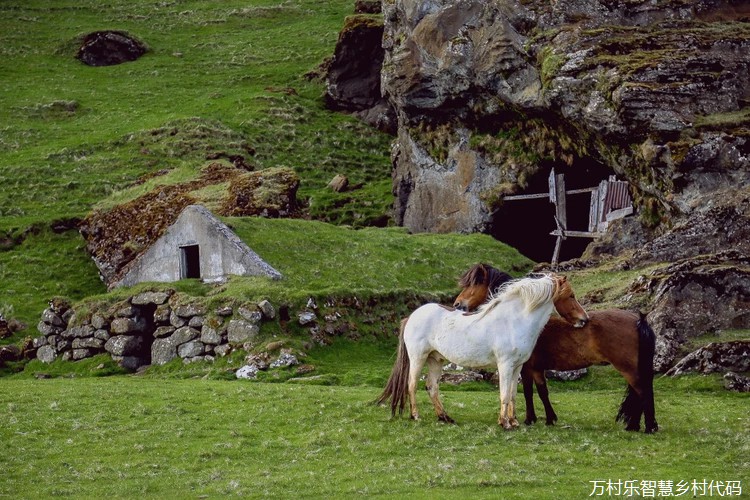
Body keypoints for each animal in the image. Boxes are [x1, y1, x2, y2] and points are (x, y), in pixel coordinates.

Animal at [378, 274, 592, 430]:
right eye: (571, 295)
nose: (585, 320)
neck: (514, 321)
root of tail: (412, 316)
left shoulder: (517, 367)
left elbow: (513, 394)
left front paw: (514, 421)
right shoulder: (505, 365)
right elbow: (504, 394)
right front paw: (504, 423)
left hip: (435, 360)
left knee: (432, 387)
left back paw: (445, 417)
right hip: (418, 358)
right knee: (412, 385)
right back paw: (416, 416)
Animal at [452, 264, 656, 432]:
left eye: (473, 285)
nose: (457, 304)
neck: (520, 318)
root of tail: (639, 319)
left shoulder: (527, 368)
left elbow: (530, 391)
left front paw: (531, 419)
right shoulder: (535, 368)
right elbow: (540, 391)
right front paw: (547, 419)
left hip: (628, 369)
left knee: (643, 392)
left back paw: (648, 427)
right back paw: (634, 425)